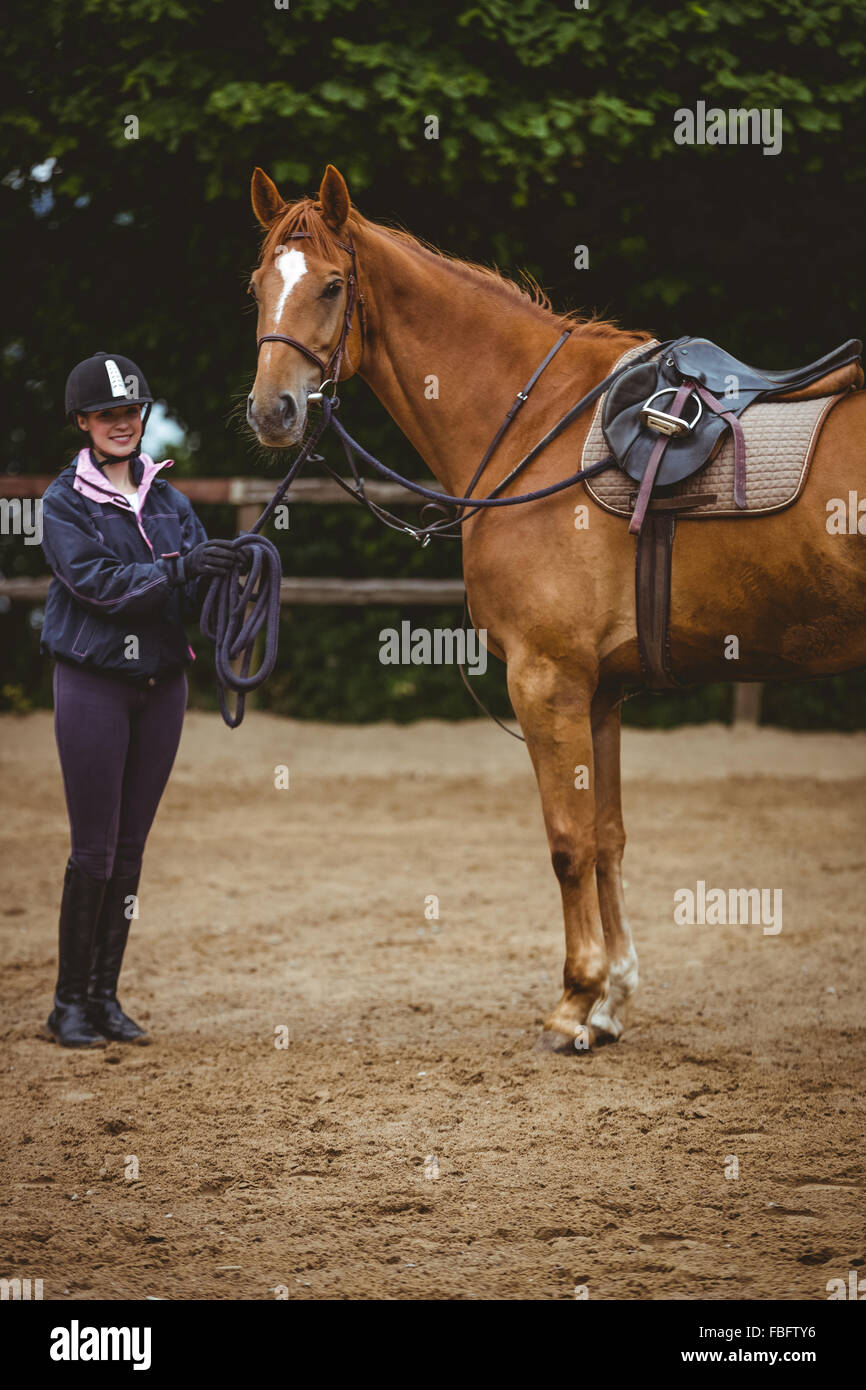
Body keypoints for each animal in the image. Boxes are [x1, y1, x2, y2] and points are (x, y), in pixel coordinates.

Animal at [245, 163, 866, 1053]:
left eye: (332, 286)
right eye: (258, 285)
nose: (273, 412)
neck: (535, 429)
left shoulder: (548, 682)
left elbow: (567, 843)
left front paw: (575, 999)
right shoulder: (601, 693)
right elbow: (607, 837)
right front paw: (611, 1003)